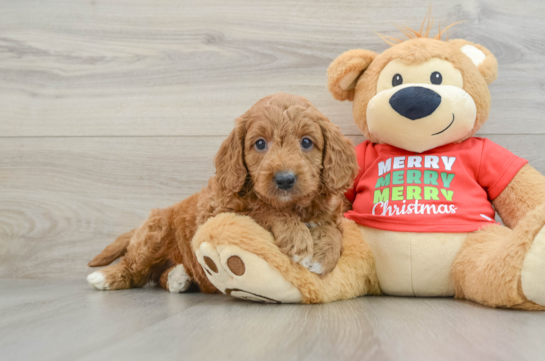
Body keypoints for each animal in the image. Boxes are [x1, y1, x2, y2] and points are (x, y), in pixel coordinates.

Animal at [87, 93, 360, 292]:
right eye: (260, 143)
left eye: (306, 142)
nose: (284, 179)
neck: (293, 206)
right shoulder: (218, 211)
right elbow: (262, 208)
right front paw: (297, 236)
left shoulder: (329, 213)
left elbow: (334, 229)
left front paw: (324, 255)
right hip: (155, 232)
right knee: (135, 267)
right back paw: (105, 277)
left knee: (158, 275)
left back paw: (178, 277)